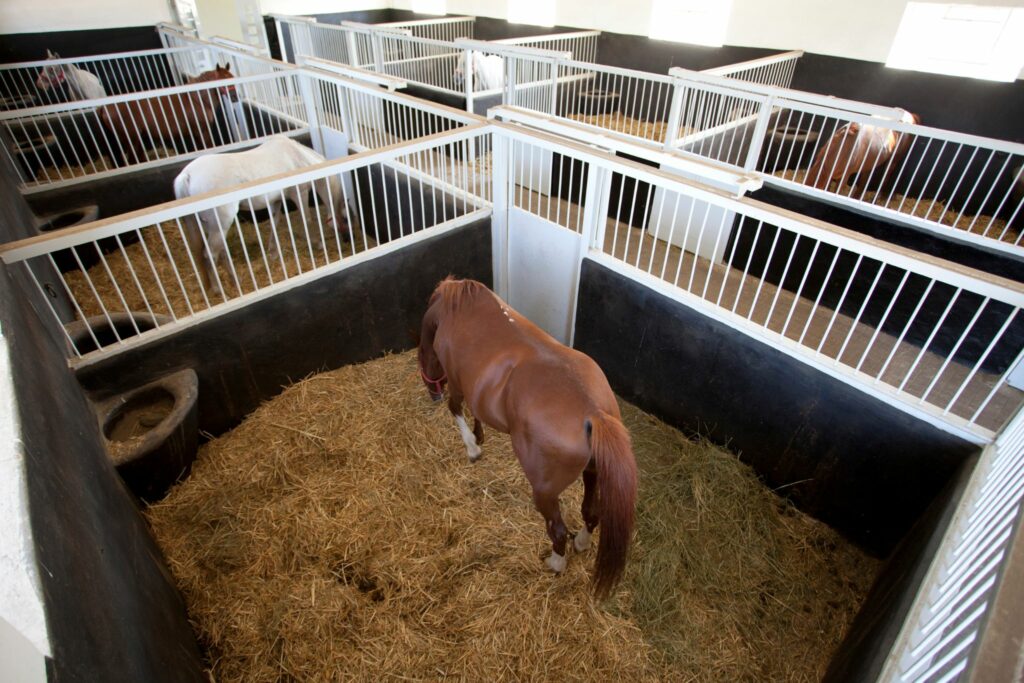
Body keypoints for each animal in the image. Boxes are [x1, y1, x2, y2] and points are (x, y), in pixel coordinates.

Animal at [96, 64, 236, 165]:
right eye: (222, 81)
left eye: (232, 77)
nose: (235, 97)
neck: (197, 99)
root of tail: (104, 108)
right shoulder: (202, 130)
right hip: (131, 139)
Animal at [171, 136, 352, 296]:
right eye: (347, 218)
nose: (348, 239)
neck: (298, 156)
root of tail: (187, 176)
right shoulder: (299, 193)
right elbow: (306, 219)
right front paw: (318, 243)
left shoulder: (275, 201)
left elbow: (275, 222)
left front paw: (273, 253)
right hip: (221, 223)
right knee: (210, 255)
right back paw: (218, 290)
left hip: (210, 225)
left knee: (220, 252)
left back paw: (235, 280)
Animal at [419, 278, 634, 598]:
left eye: (424, 359)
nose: (432, 394)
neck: (455, 310)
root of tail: (593, 412)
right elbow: (476, 413)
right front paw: (479, 436)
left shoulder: (456, 384)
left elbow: (455, 409)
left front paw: (472, 447)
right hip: (593, 474)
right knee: (591, 513)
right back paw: (581, 543)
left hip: (544, 492)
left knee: (557, 530)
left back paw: (556, 563)